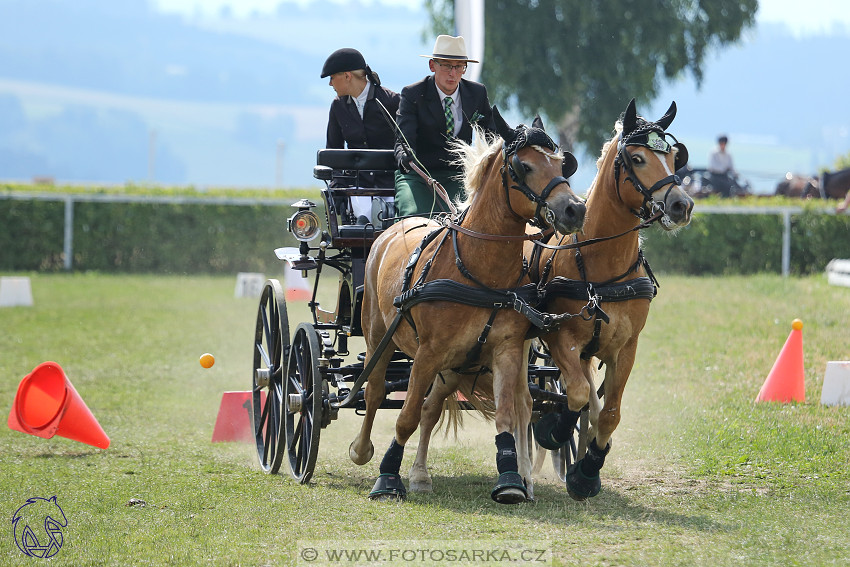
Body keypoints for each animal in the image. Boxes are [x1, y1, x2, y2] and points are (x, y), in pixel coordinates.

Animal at [350, 113, 584, 504]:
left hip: (454, 365)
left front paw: (510, 480)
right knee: (375, 391)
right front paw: (386, 477)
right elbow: (405, 416)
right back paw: (362, 449)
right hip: (379, 336)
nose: (575, 209)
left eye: (561, 163)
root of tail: (391, 229)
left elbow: (506, 414)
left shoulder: (506, 350)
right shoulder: (427, 354)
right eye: (523, 166)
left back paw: (421, 474)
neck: (479, 273)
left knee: (432, 408)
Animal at [532, 98, 692, 502]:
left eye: (674, 157)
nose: (682, 205)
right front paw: (554, 430)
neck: (603, 268)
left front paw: (588, 472)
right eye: (637, 158)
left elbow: (609, 413)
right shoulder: (560, 336)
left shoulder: (626, 347)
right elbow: (574, 395)